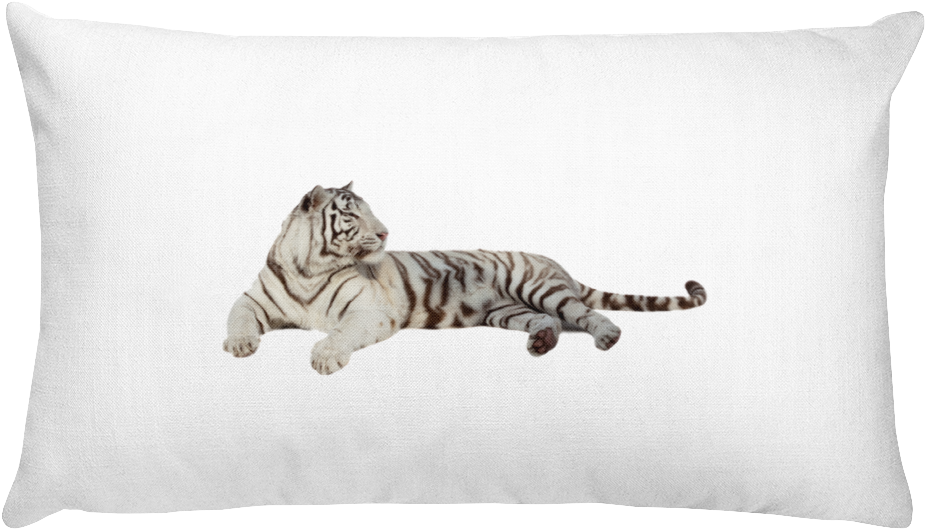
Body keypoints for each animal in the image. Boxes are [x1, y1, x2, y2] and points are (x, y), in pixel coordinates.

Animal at [223, 183, 707, 375]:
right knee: (548, 321)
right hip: (507, 311)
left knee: (584, 312)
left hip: (535, 286)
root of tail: (556, 263)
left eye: (370, 210)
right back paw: (541, 344)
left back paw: (607, 336)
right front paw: (240, 345)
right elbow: (236, 315)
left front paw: (325, 356)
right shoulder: (253, 299)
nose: (385, 232)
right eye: (353, 214)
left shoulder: (368, 311)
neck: (310, 267)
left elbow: (340, 333)